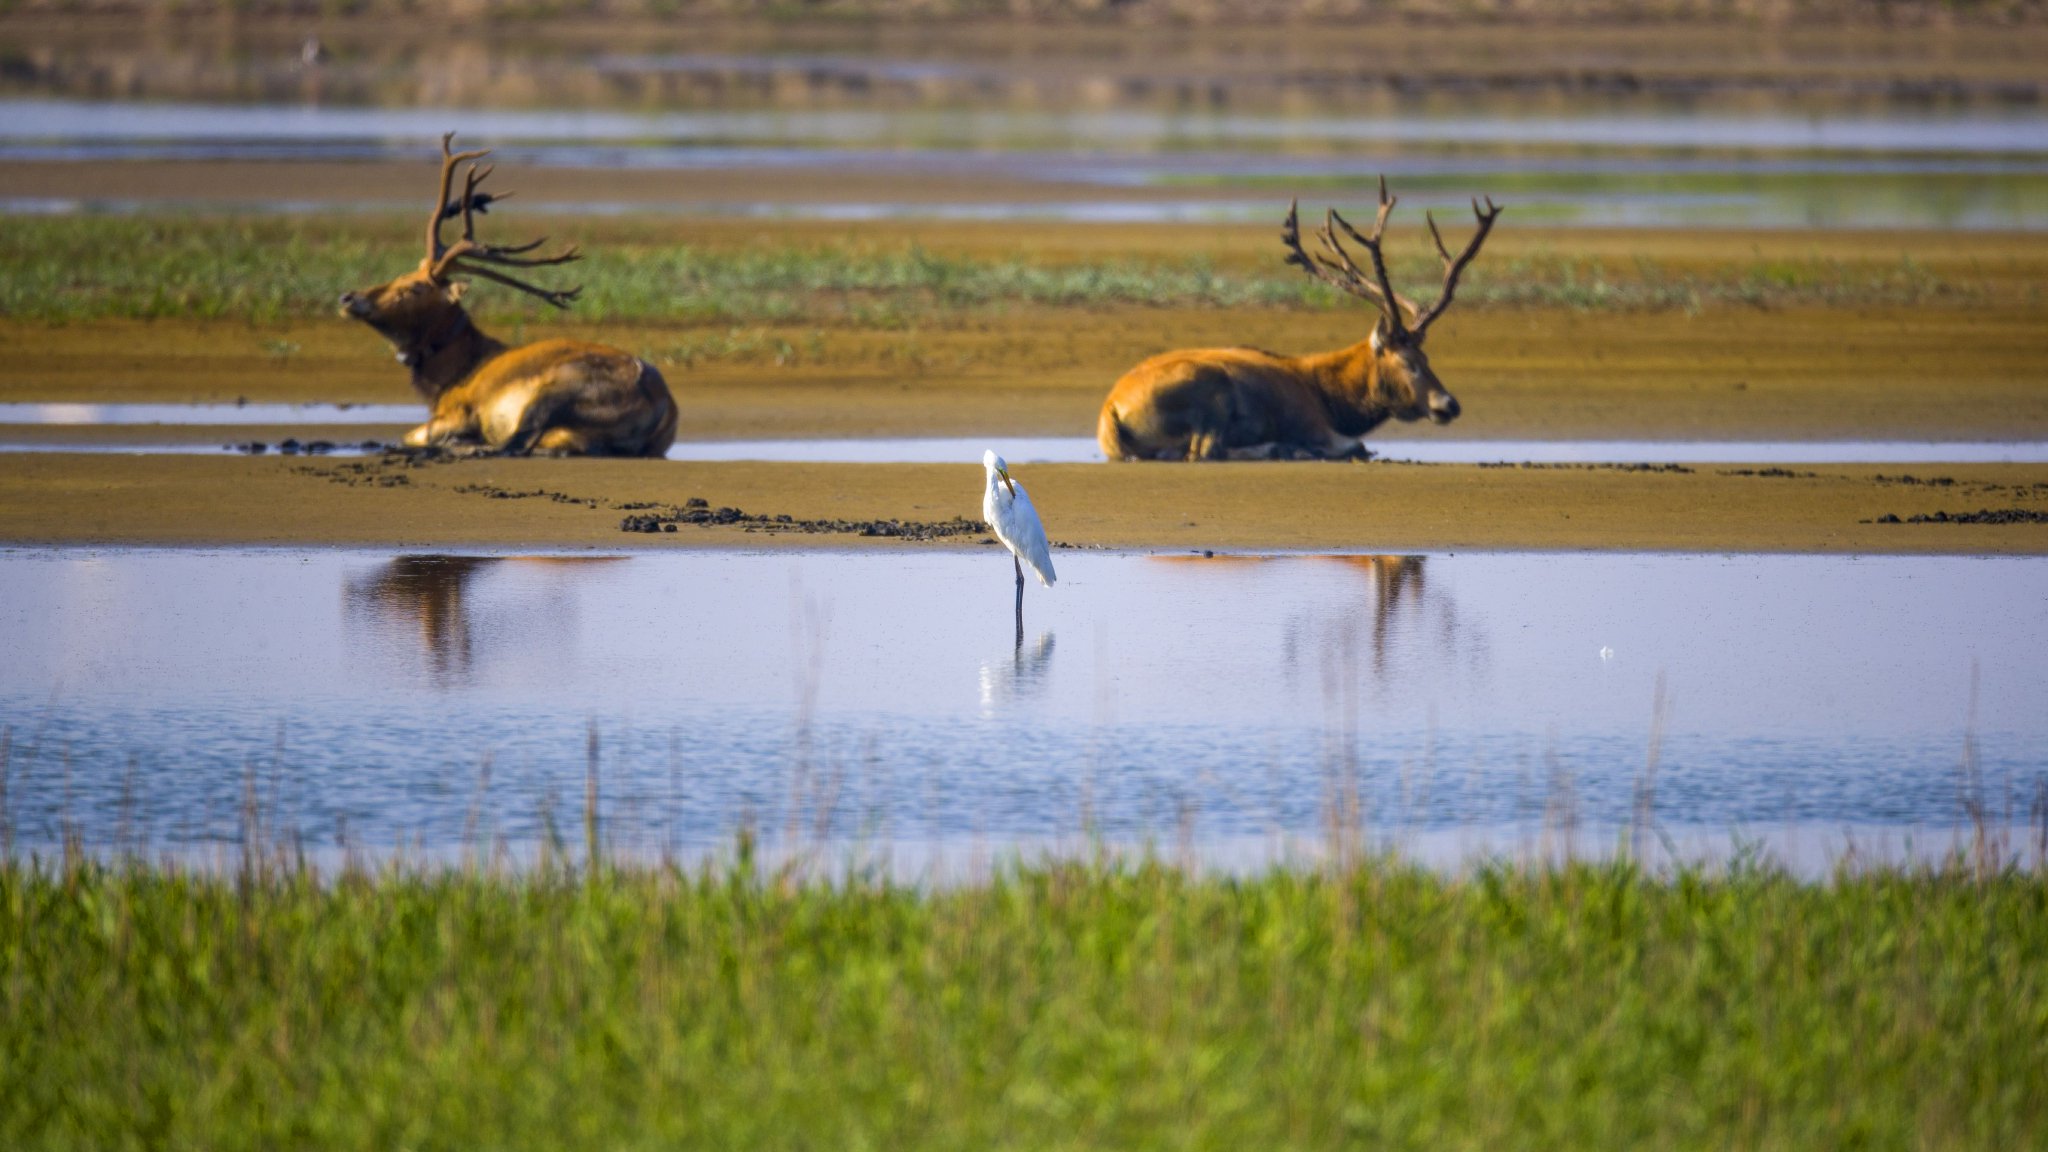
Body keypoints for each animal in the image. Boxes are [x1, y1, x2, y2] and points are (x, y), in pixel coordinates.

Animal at [339, 133, 678, 457]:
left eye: (413, 287)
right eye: (401, 275)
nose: (349, 298)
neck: (449, 376)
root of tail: (661, 408)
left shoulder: (461, 411)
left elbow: (415, 433)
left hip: (556, 391)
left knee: (513, 444)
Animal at [1097, 178, 1499, 461]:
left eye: (1428, 357)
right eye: (1409, 361)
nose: (1449, 404)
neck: (1327, 394)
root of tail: (1112, 410)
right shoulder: (1314, 423)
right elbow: (1354, 446)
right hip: (1211, 393)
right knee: (1204, 450)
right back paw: (1283, 448)